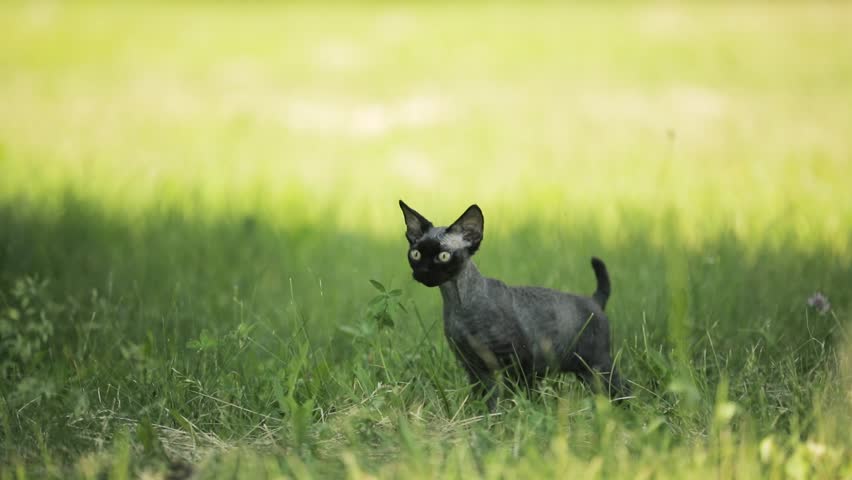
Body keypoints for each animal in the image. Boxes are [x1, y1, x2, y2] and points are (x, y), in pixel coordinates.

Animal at [398, 200, 624, 408]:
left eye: (443, 256)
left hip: (597, 365)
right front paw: (483, 418)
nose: (423, 272)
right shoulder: (472, 365)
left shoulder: (518, 359)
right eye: (416, 254)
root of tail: (593, 300)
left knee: (623, 388)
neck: (459, 306)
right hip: (584, 371)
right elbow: (485, 398)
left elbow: (518, 396)